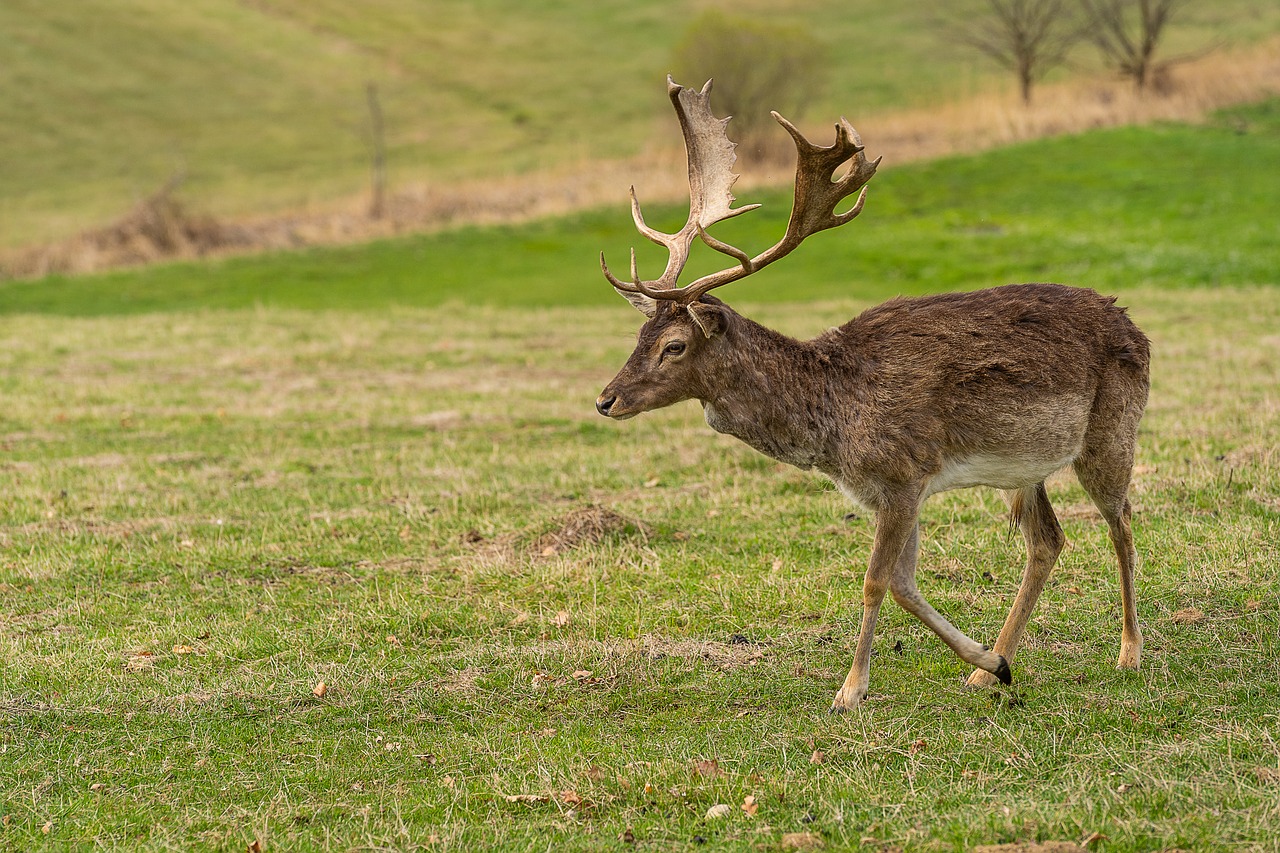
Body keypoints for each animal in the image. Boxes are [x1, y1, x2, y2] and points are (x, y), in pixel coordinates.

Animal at [596, 78, 1152, 712]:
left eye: (674, 345)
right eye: (640, 335)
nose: (606, 400)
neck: (835, 426)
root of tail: (1135, 327)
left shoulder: (904, 472)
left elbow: (875, 581)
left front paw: (850, 689)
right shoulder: (895, 489)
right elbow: (905, 583)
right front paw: (992, 663)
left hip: (1111, 432)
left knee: (1121, 520)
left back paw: (1130, 651)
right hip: (1027, 467)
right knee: (1048, 542)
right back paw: (989, 671)